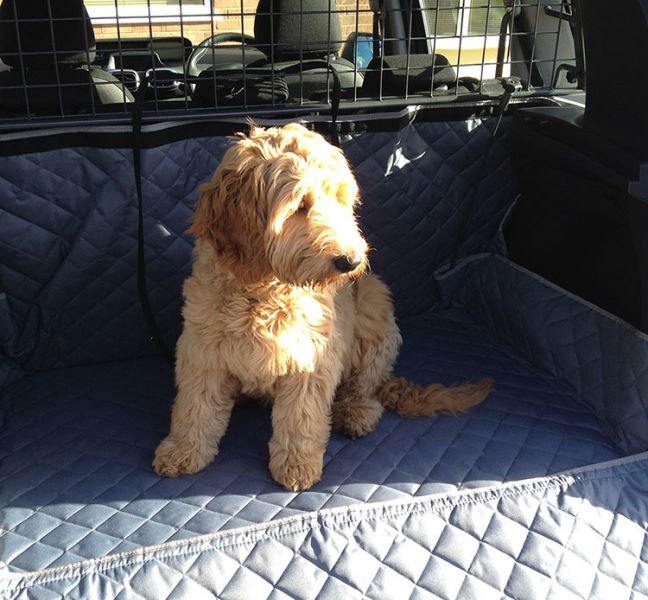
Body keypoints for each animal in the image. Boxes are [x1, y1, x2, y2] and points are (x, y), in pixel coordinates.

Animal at [153, 123, 492, 492]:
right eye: (300, 205)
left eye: (341, 200)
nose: (352, 261)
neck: (264, 288)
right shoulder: (203, 351)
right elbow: (195, 406)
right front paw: (182, 450)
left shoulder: (310, 356)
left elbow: (301, 417)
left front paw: (297, 464)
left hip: (373, 307)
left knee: (365, 383)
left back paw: (356, 411)